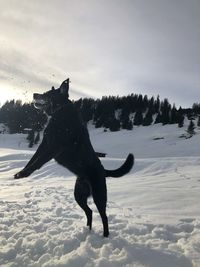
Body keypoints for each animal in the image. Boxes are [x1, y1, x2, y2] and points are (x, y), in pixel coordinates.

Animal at [14, 78, 134, 238]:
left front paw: (24, 174)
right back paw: (87, 230)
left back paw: (105, 236)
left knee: (104, 216)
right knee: (89, 211)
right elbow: (32, 160)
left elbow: (38, 162)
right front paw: (20, 173)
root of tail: (104, 170)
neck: (61, 112)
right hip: (79, 194)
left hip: (99, 195)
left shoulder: (54, 147)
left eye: (48, 93)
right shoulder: (45, 144)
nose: (34, 94)